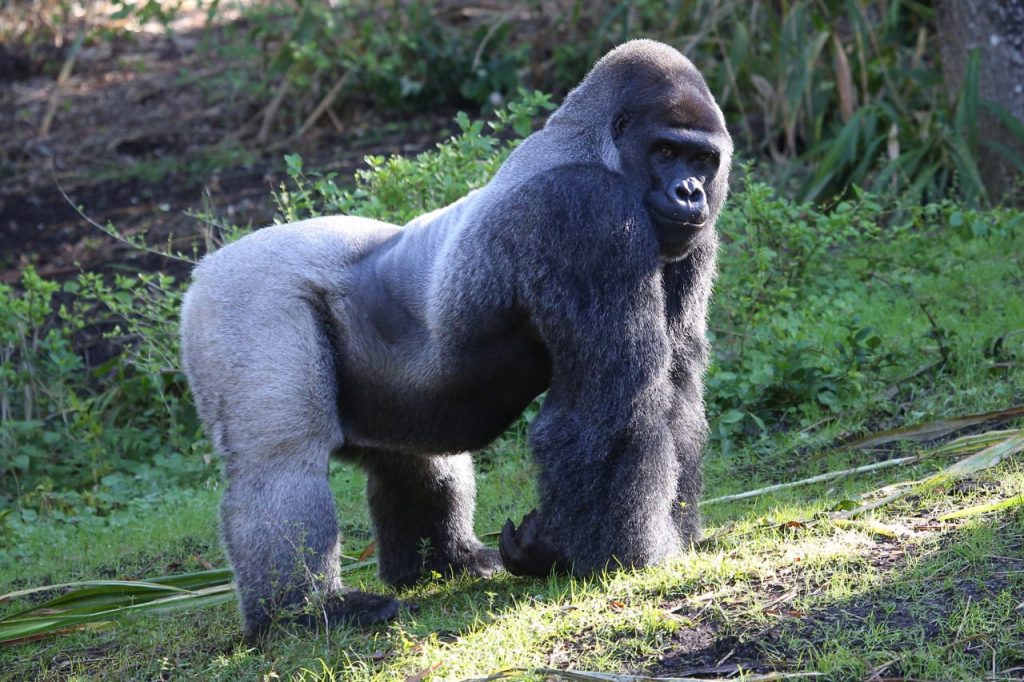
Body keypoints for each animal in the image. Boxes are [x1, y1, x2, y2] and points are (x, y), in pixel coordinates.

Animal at [179, 38, 732, 639]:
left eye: (702, 160)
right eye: (665, 151)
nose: (690, 192)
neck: (600, 147)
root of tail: (204, 267)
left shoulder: (690, 239)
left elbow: (675, 387)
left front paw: (668, 536)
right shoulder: (587, 212)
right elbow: (615, 402)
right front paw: (606, 557)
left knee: (416, 458)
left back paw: (445, 562)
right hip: (243, 297)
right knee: (281, 463)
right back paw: (301, 613)